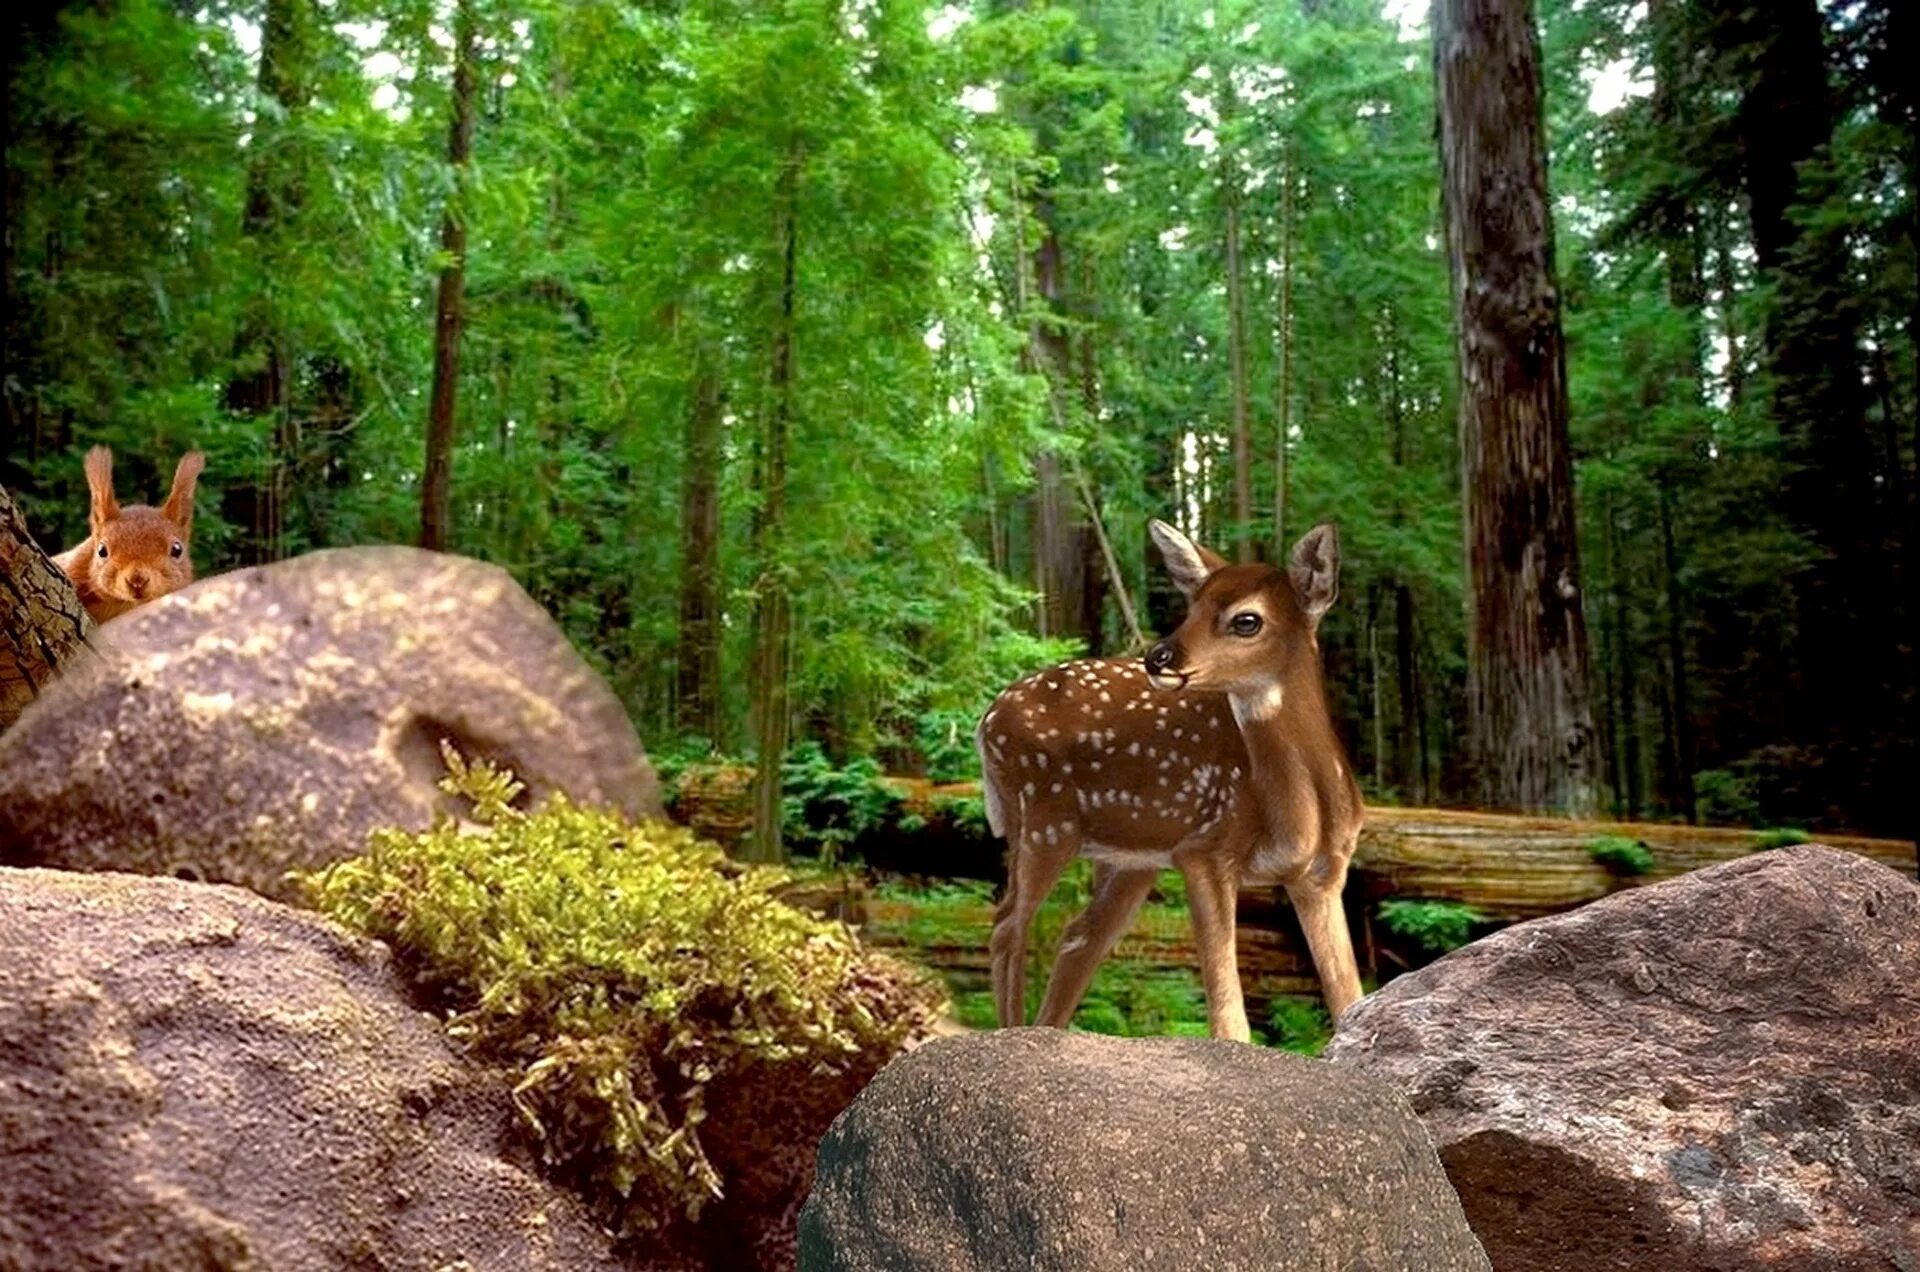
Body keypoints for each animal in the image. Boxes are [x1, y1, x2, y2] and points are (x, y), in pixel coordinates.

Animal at [975, 518, 1367, 1045]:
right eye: (1192, 606)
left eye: (1247, 620)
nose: (1158, 657)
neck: (1304, 811)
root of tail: (986, 722)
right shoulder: (1203, 849)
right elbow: (1228, 1015)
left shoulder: (1324, 873)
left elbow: (1349, 994)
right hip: (1042, 818)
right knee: (1007, 925)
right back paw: (1013, 1033)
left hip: (1127, 857)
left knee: (1077, 936)